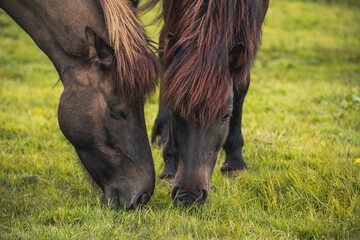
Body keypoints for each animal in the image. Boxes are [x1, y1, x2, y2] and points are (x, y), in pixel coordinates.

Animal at [150, 0, 268, 206]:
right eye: (175, 112)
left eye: (226, 115)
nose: (189, 195)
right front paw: (169, 166)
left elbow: (241, 85)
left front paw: (235, 162)